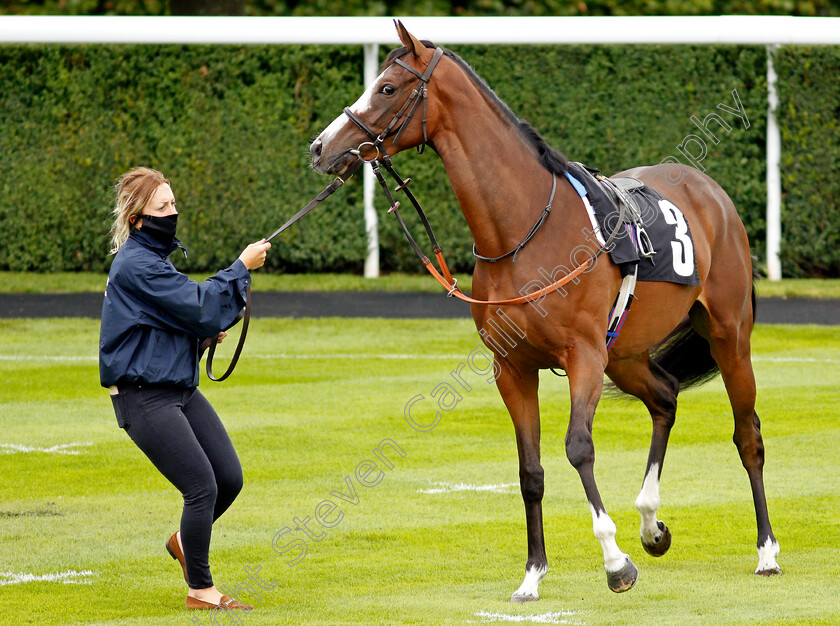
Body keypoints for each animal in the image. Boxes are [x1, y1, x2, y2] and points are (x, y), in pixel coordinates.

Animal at [308, 23, 780, 600]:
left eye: (388, 88)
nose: (321, 147)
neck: (524, 228)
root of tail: (710, 191)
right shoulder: (513, 368)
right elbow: (529, 470)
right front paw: (532, 574)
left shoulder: (583, 357)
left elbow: (578, 447)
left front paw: (615, 562)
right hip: (625, 353)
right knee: (665, 398)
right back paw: (651, 522)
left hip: (727, 334)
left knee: (747, 434)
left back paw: (766, 550)